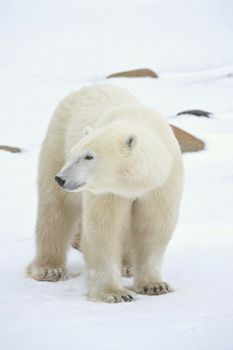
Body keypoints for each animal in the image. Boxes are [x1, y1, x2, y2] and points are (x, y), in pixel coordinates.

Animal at [27, 83, 184, 302]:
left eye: (89, 156)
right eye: (74, 153)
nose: (61, 178)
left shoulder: (161, 184)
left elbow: (153, 228)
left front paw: (155, 286)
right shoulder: (107, 191)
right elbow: (103, 228)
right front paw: (116, 294)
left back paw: (127, 265)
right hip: (57, 140)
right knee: (56, 208)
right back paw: (50, 269)